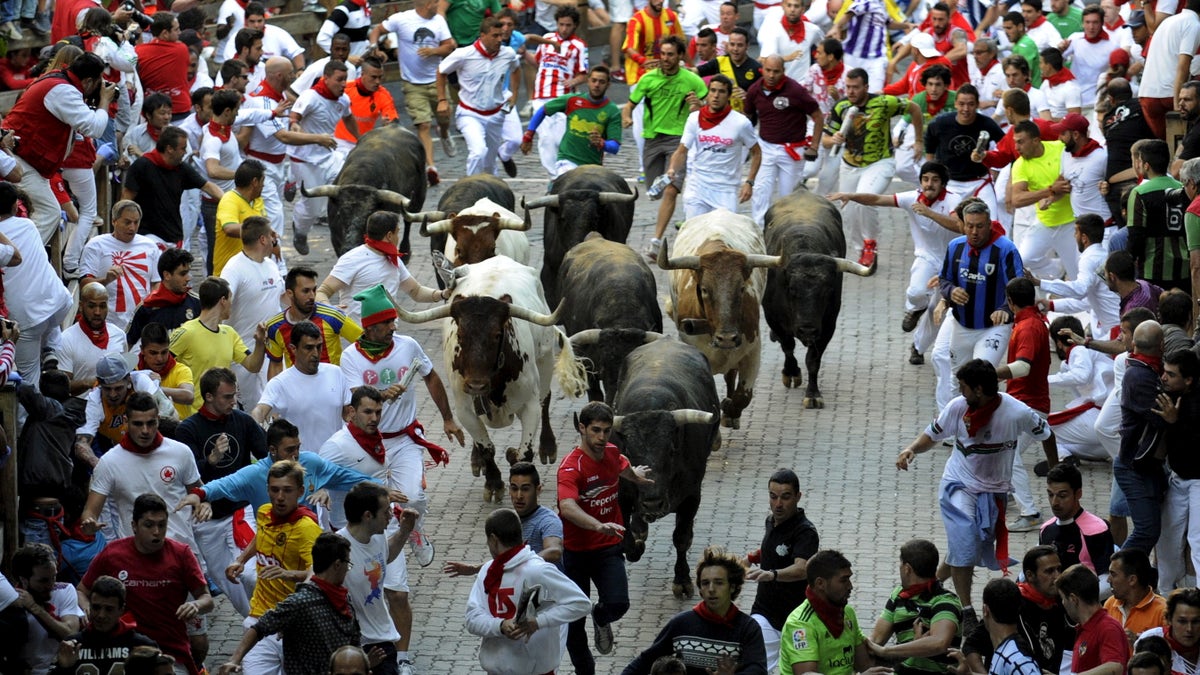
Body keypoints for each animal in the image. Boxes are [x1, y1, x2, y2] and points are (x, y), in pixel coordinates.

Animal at [614, 338, 715, 595]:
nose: (652, 503)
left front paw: (682, 579)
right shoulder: (622, 493)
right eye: (628, 452)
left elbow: (682, 537)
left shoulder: (692, 495)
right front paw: (636, 546)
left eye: (671, 450)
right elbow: (625, 537)